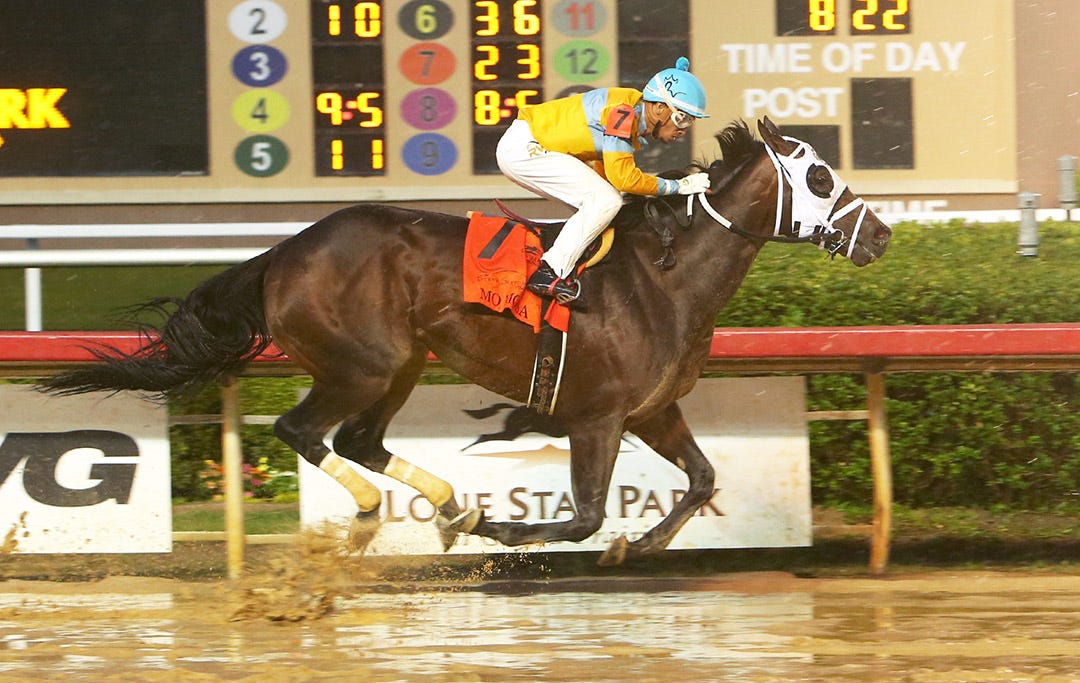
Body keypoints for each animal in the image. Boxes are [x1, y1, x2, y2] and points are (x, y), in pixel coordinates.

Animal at [40, 117, 891, 565]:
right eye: (820, 178)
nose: (881, 233)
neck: (665, 277)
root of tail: (282, 253)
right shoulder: (595, 416)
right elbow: (582, 516)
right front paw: (501, 527)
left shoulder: (652, 410)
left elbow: (704, 479)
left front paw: (638, 546)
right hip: (362, 362)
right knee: (301, 429)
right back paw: (378, 514)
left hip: (402, 365)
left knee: (358, 438)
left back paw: (444, 502)